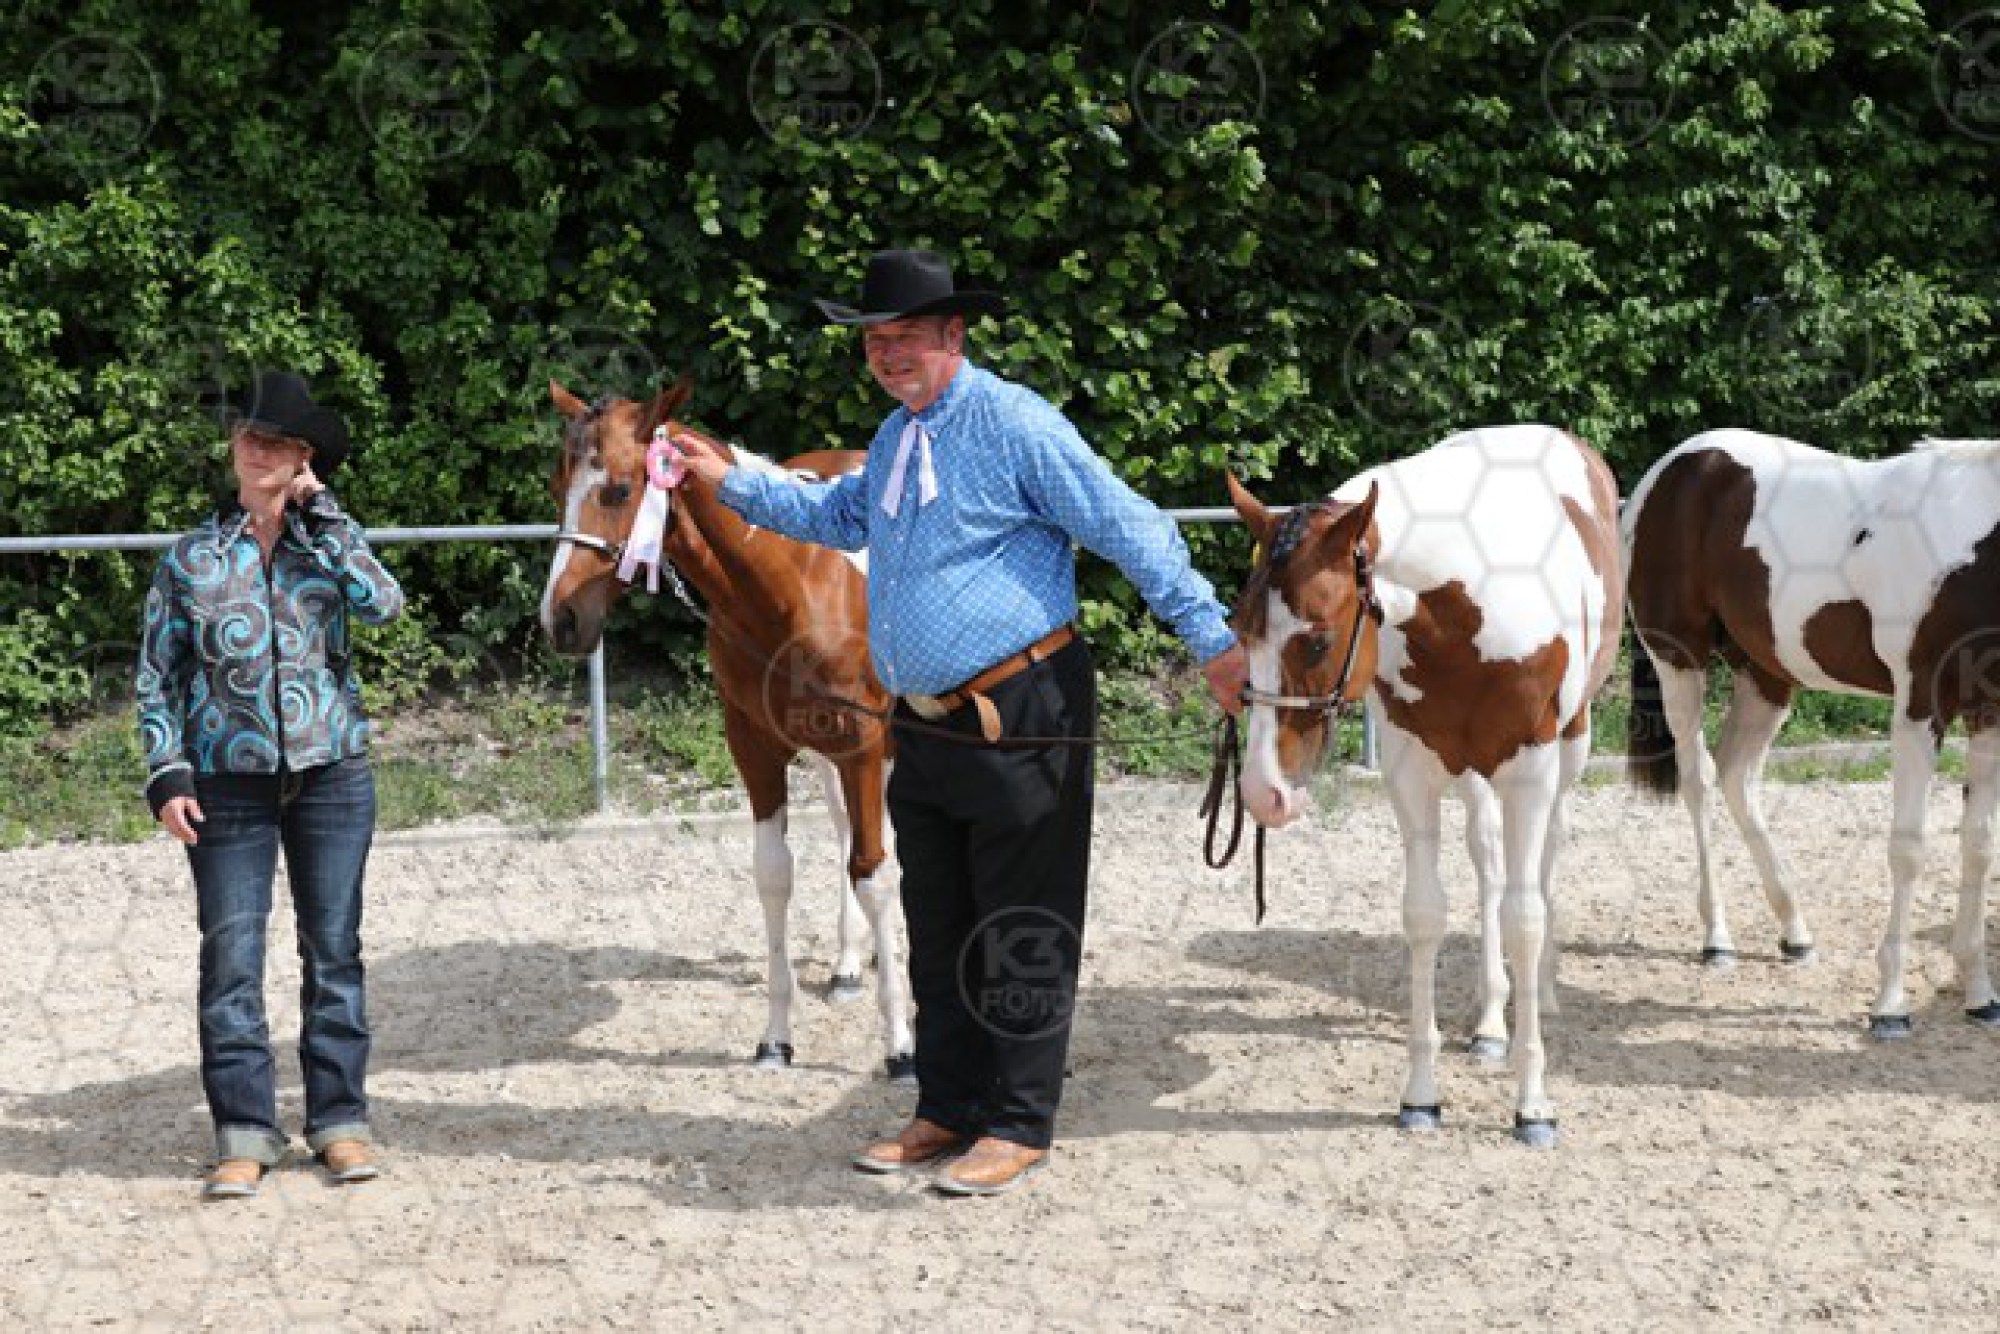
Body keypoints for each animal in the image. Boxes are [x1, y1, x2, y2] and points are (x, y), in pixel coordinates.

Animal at [540, 378, 914, 1081]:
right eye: (558, 486)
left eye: (619, 491)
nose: (562, 620)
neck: (791, 588)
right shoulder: (757, 749)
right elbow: (776, 874)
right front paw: (776, 1041)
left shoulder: (863, 742)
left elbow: (876, 874)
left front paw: (901, 1045)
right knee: (850, 831)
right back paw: (851, 965)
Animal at [1226, 425, 1622, 1146]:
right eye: (1240, 629)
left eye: (1317, 640)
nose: (1265, 791)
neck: (1475, 606)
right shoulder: (1411, 773)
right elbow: (1424, 915)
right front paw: (1421, 1096)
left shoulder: (1531, 771)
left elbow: (1525, 918)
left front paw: (1533, 1105)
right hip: (1470, 774)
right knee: (1489, 858)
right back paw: (1491, 1020)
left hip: (1569, 749)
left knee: (1544, 858)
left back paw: (1544, 990)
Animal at [1623, 427, 2000, 1038]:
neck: (1973, 546)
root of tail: (1676, 465)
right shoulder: (1919, 707)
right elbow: (1909, 848)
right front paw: (1890, 1006)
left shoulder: (1989, 712)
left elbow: (1979, 847)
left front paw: (1981, 996)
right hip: (1677, 659)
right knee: (1698, 780)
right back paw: (1717, 940)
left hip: (1767, 674)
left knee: (1737, 775)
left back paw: (1794, 931)